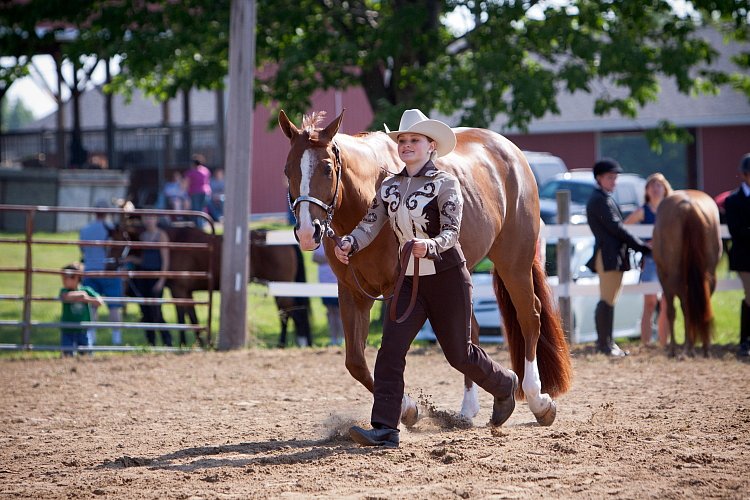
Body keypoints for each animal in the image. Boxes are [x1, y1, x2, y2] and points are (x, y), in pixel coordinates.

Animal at [280, 109, 572, 426]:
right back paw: (468, 409)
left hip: (514, 262)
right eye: (287, 171)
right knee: (470, 334)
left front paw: (404, 407)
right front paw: (408, 408)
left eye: (326, 168)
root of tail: (512, 152)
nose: (307, 232)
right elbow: (356, 361)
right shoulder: (352, 293)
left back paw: (537, 400)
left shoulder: (396, 293)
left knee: (529, 316)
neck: (366, 196)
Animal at [656, 189, 724, 358]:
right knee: (702, 304)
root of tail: (689, 207)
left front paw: (673, 349)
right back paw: (704, 347)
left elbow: (671, 312)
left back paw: (687, 348)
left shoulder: (664, 280)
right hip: (709, 275)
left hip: (675, 276)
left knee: (685, 307)